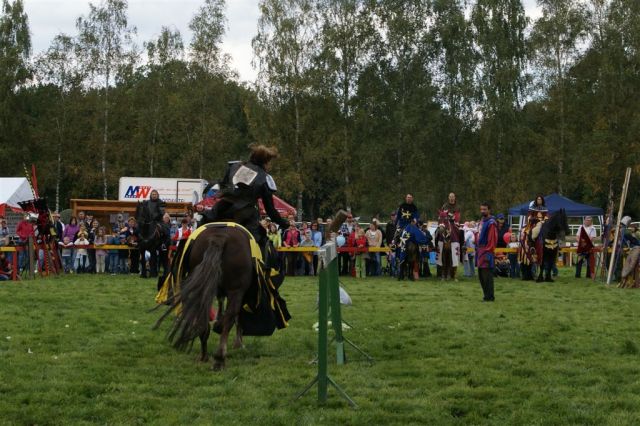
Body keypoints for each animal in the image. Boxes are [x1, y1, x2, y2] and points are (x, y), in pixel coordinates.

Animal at [156, 226, 254, 370]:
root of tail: (220, 238)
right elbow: (236, 317)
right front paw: (238, 342)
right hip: (236, 291)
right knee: (230, 318)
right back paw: (219, 358)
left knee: (203, 318)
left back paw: (204, 355)